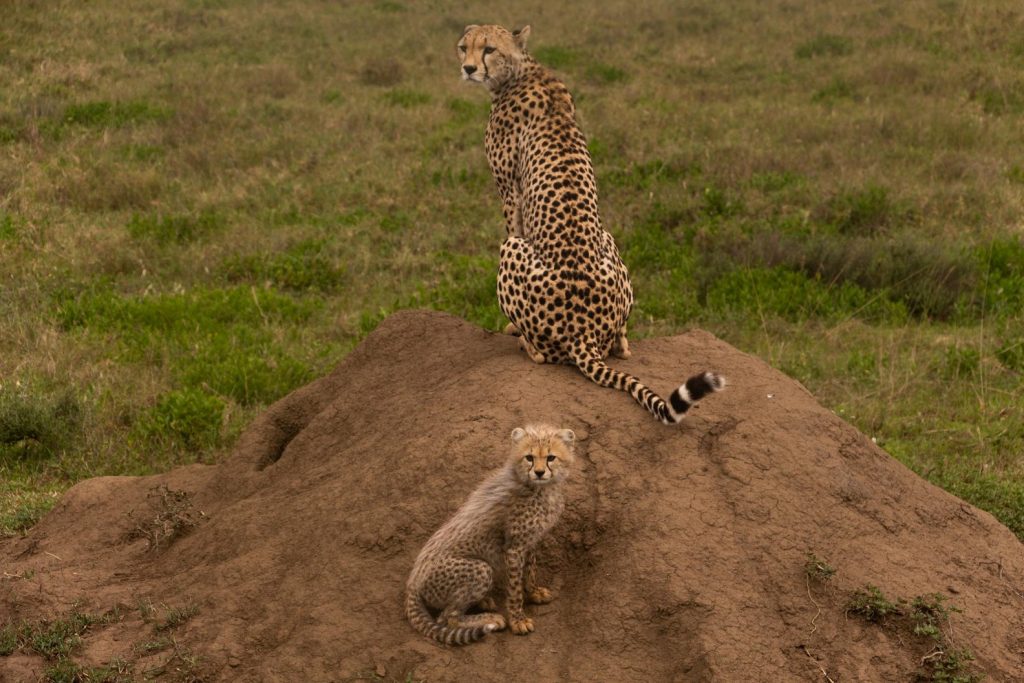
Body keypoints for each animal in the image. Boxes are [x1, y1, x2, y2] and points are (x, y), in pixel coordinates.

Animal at [460, 25, 724, 421]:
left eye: (489, 49)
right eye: (464, 47)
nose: (468, 68)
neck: (522, 71)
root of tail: (584, 332)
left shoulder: (509, 194)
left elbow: (513, 223)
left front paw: (508, 327)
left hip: (513, 251)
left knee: (542, 354)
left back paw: (522, 341)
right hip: (610, 242)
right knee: (622, 347)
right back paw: (620, 341)